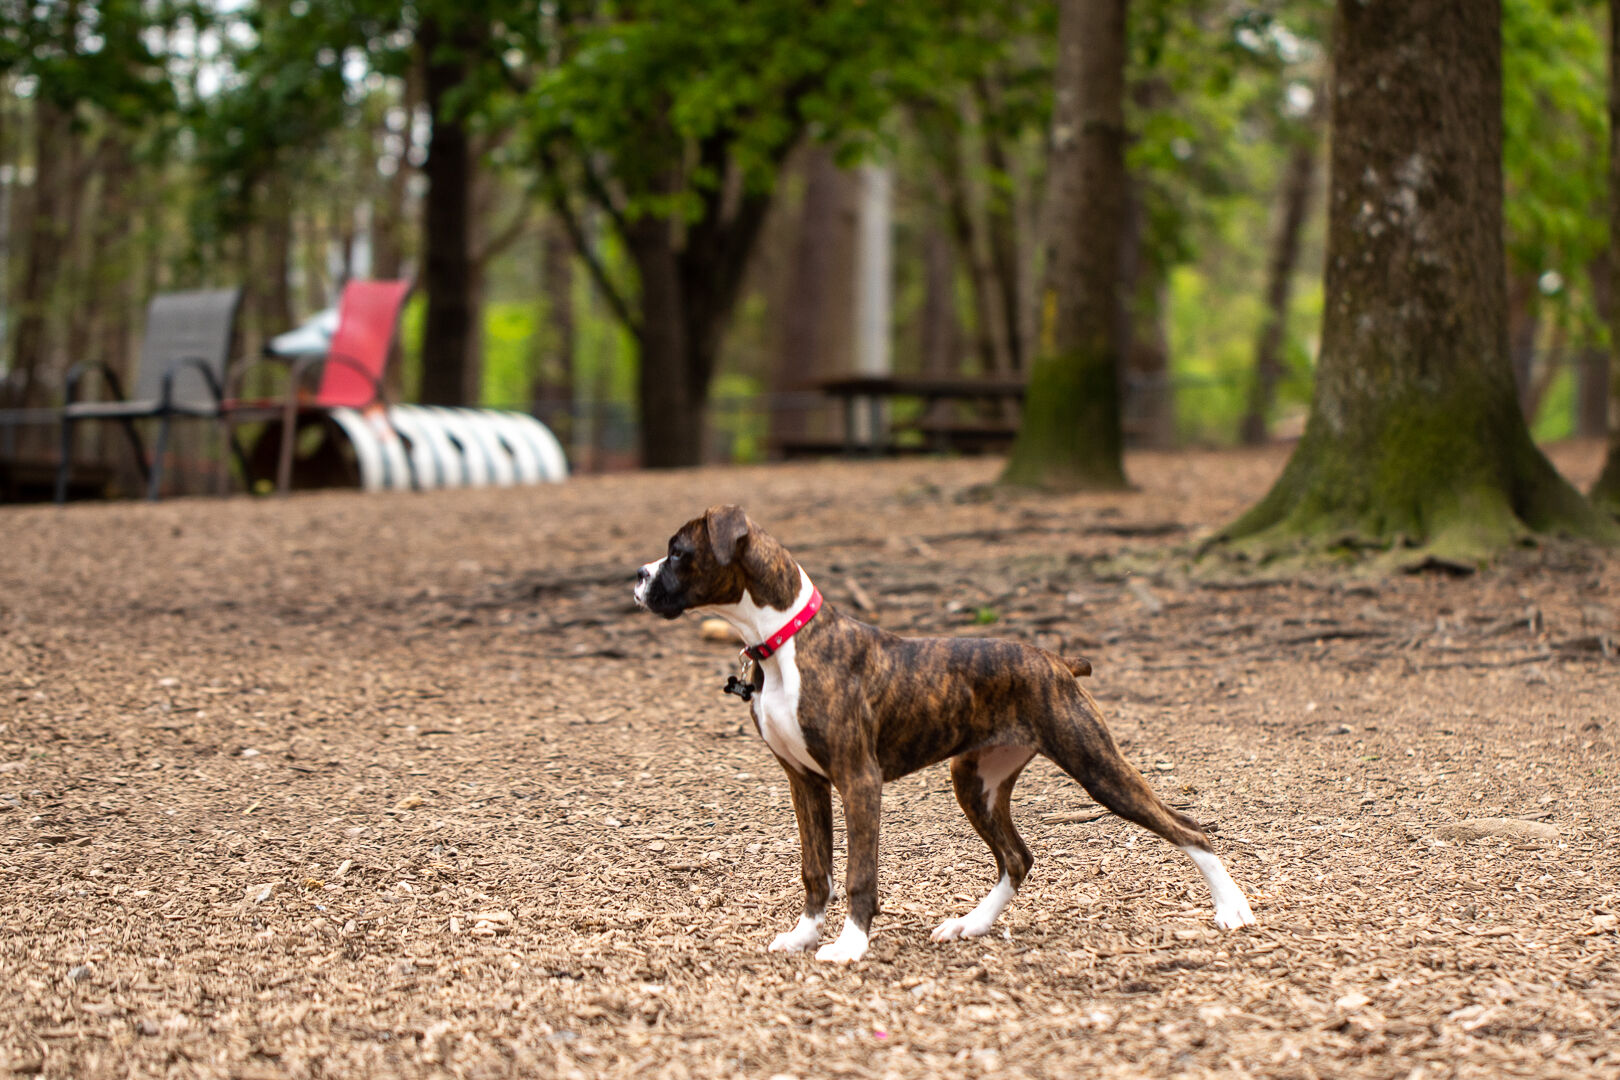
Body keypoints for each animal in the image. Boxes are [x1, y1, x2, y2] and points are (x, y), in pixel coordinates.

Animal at [631, 505, 1250, 965]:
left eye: (679, 552)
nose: (637, 576)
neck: (785, 642)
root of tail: (1055, 661)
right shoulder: (804, 781)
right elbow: (815, 868)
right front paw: (804, 936)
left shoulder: (858, 781)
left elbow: (857, 872)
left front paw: (849, 946)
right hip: (975, 780)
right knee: (1017, 857)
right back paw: (970, 925)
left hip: (1095, 765)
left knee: (1189, 828)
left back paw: (1232, 909)